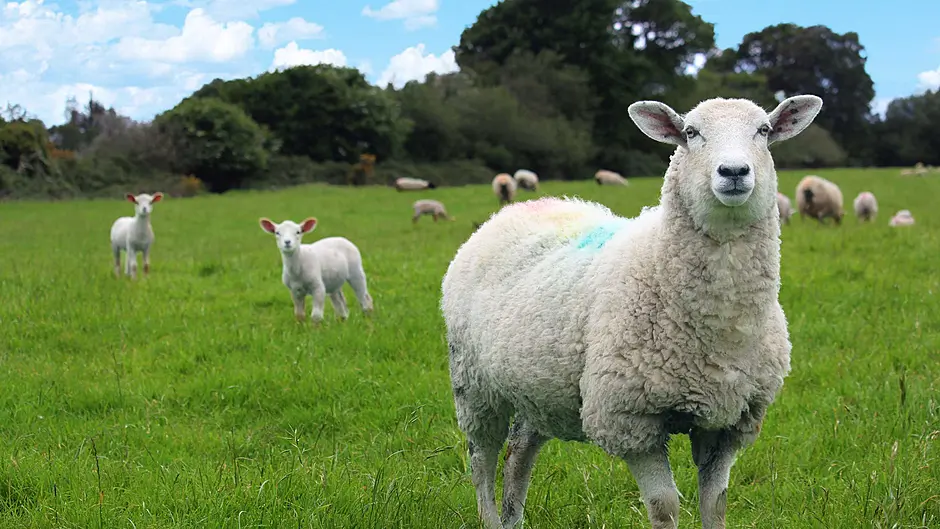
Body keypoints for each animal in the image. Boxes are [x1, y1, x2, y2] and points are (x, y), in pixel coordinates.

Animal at [440, 94, 822, 529]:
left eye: (763, 130)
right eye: (691, 132)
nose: (734, 171)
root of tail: (512, 211)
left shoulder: (730, 420)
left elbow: (717, 505)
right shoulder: (629, 419)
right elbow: (664, 507)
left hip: (537, 391)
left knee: (518, 453)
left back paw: (512, 518)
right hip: (473, 386)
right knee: (481, 462)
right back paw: (491, 515)